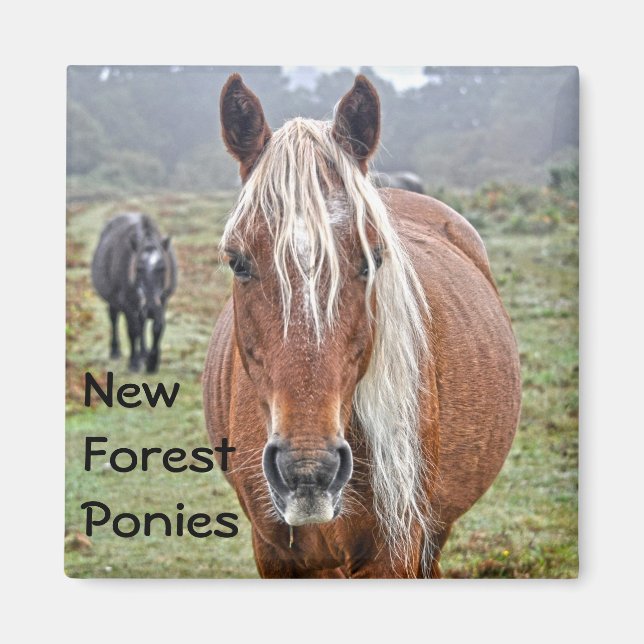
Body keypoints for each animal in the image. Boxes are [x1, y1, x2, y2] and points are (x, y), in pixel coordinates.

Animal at [91, 213, 177, 373]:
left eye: (162, 268)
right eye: (139, 268)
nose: (150, 309)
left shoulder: (162, 301)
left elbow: (157, 328)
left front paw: (152, 362)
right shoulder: (128, 304)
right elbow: (133, 330)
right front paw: (134, 362)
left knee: (142, 324)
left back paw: (144, 354)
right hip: (114, 301)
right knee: (115, 319)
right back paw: (115, 351)